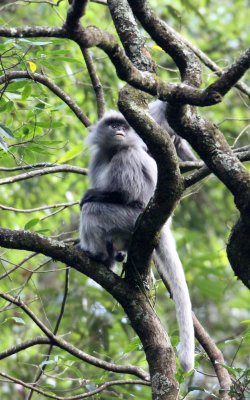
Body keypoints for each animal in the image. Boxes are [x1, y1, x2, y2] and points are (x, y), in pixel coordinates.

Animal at [80, 102, 195, 372]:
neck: (114, 151)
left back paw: (97, 255)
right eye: (113, 125)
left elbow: (124, 194)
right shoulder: (98, 158)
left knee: (92, 211)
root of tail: (163, 226)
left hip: (129, 219)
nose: (119, 130)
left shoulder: (129, 155)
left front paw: (89, 195)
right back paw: (110, 258)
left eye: (123, 125)